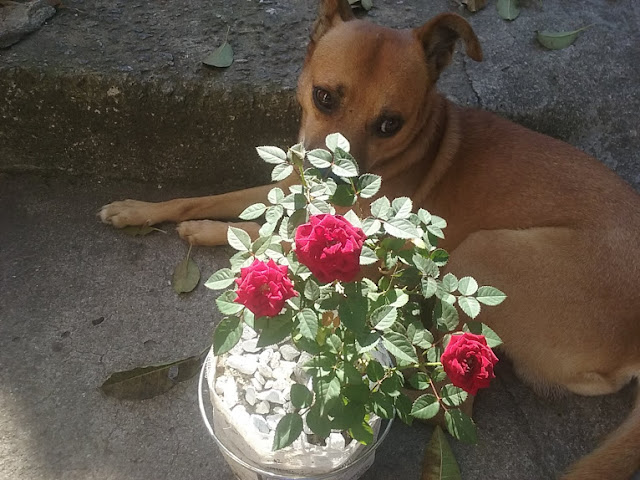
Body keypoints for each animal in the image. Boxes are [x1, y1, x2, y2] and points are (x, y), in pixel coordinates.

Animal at [100, 1, 640, 478]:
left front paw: (207, 232)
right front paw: (141, 211)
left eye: (389, 124)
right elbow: (212, 198)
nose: (328, 180)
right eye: (324, 97)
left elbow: (261, 235)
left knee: (463, 386)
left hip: (482, 253)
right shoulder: (288, 183)